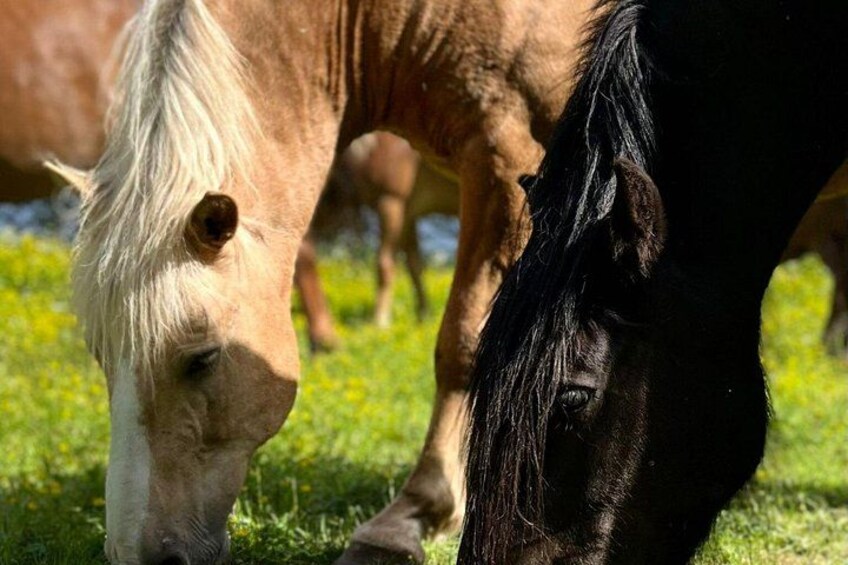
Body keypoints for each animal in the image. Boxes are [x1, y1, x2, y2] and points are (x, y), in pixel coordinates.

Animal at [51, 0, 592, 563]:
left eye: (201, 359)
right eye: (101, 356)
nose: (139, 555)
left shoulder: (507, 160)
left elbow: (464, 346)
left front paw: (416, 514)